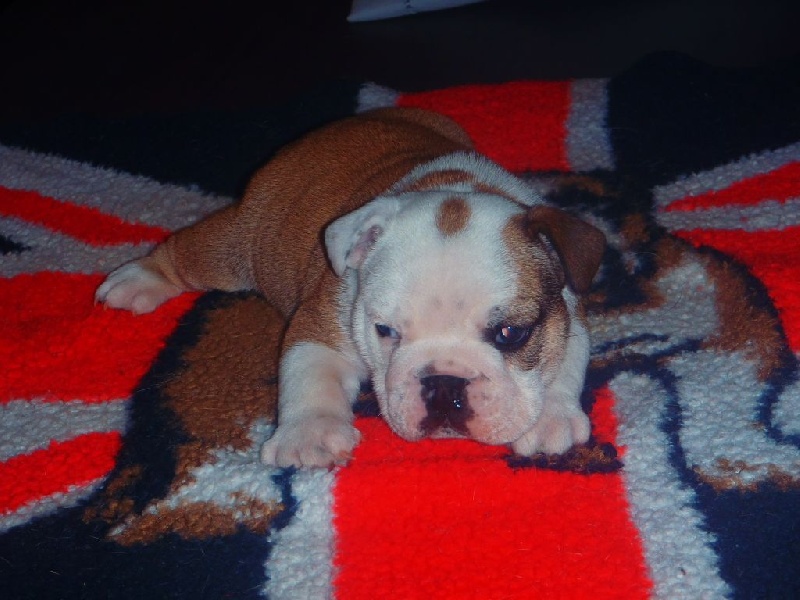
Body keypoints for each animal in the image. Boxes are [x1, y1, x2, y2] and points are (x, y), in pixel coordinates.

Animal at [96, 107, 605, 468]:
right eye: (385, 331)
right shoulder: (322, 321)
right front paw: (309, 435)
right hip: (237, 247)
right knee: (187, 253)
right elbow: (309, 373)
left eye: (510, 335)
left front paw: (552, 414)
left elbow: (566, 363)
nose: (443, 384)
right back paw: (137, 279)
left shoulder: (570, 315)